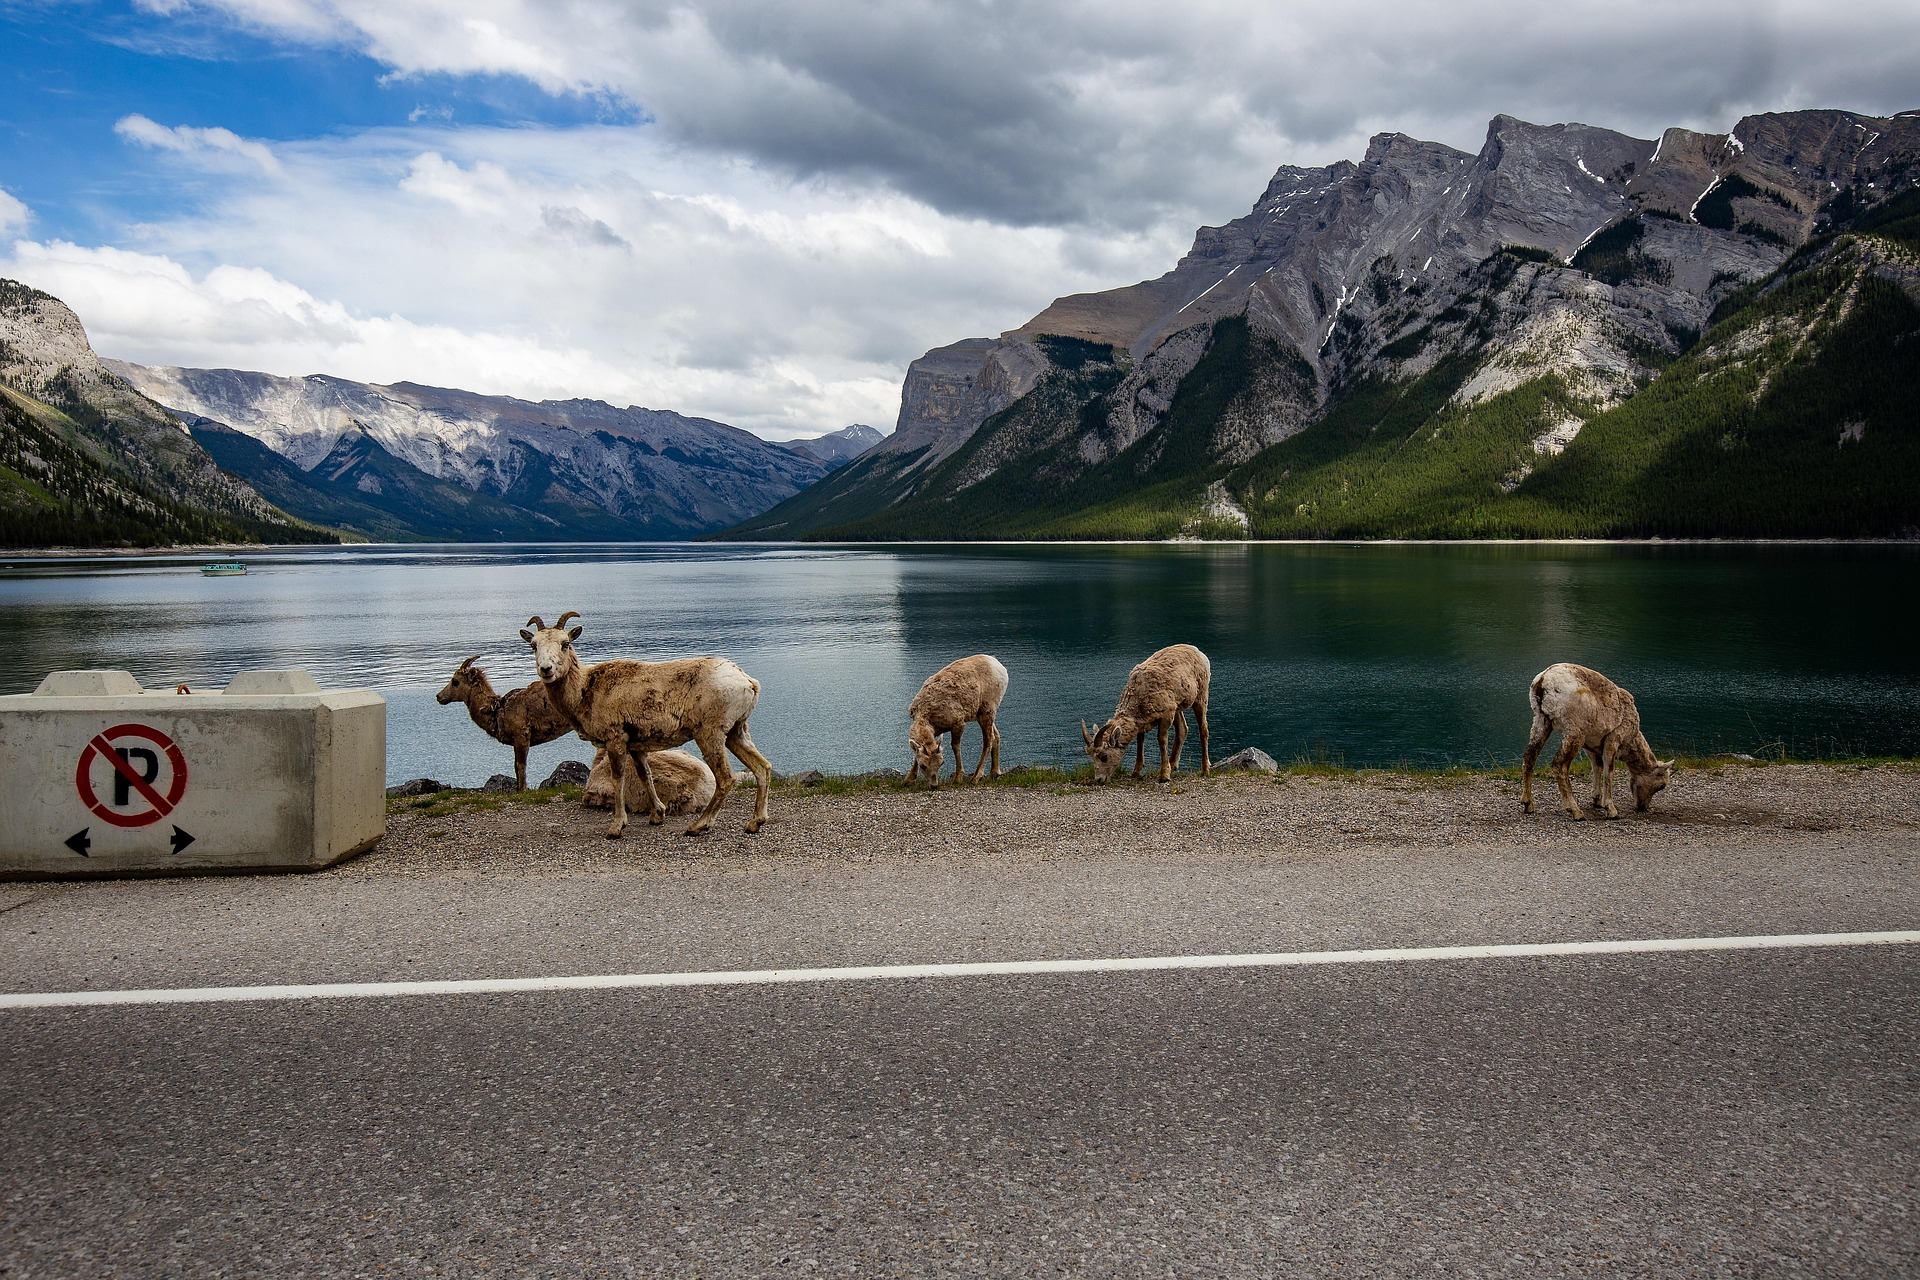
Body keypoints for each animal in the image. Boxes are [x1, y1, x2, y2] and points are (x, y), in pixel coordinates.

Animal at [435, 655, 575, 790]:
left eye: (455, 681)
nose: (439, 696)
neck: (497, 711)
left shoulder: (522, 736)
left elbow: (520, 766)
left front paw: (522, 790)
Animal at [907, 654, 1009, 788]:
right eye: (922, 765)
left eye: (941, 763)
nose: (934, 785)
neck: (926, 715)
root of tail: (1001, 667)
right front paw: (908, 780)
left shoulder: (958, 723)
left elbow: (955, 746)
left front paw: (958, 778)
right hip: (983, 713)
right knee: (996, 736)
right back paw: (994, 773)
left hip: (988, 709)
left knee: (989, 739)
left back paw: (976, 777)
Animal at [1082, 643, 1212, 784]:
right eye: (1091, 755)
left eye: (1104, 756)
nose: (1099, 779)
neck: (1139, 693)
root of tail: (1198, 652)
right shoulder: (1143, 721)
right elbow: (1140, 742)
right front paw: (1136, 772)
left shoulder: (1166, 715)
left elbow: (1162, 740)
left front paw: (1164, 776)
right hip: (1178, 707)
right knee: (1182, 730)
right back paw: (1173, 765)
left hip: (1201, 697)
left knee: (1203, 730)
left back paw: (1205, 770)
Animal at [1522, 662, 1674, 820]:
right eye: (1661, 785)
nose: (1642, 808)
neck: (1630, 742)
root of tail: (1542, 681)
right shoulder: (1613, 739)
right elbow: (1608, 772)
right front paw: (1611, 810)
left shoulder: (1591, 746)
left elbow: (1597, 767)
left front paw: (1597, 800)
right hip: (1574, 731)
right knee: (1559, 765)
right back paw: (1575, 811)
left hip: (1541, 720)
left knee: (1529, 757)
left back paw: (1528, 804)